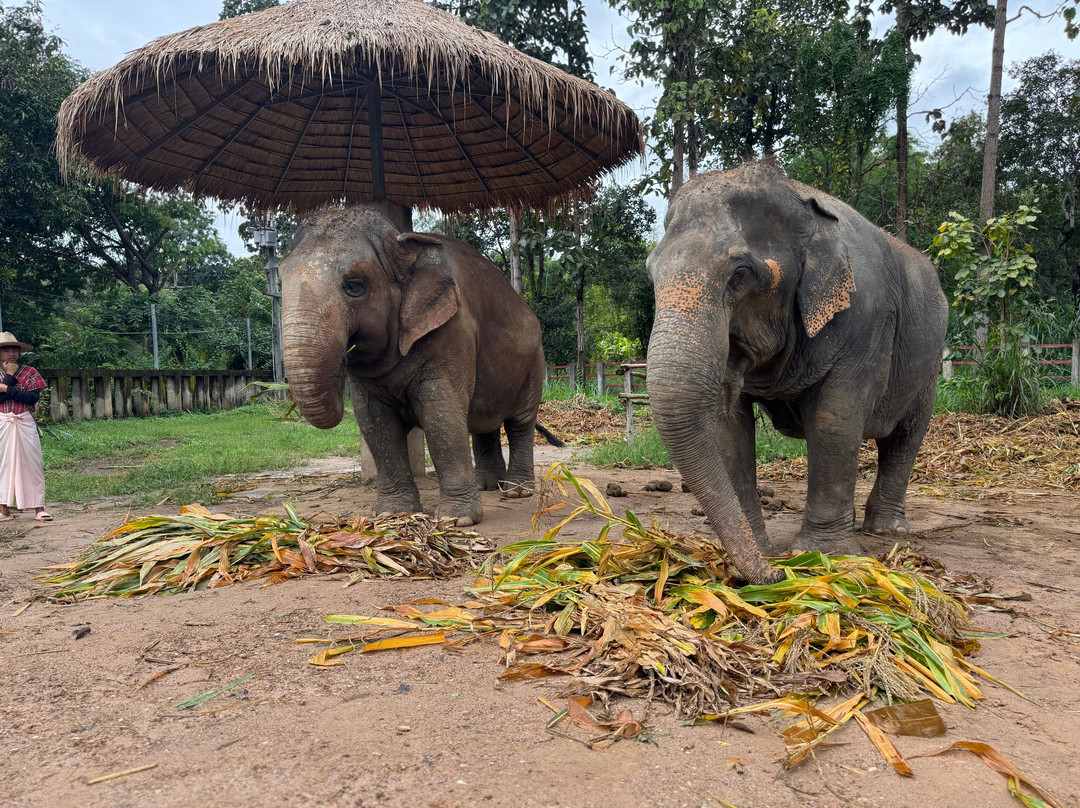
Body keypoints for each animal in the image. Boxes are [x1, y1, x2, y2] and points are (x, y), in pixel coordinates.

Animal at [281, 205, 554, 527]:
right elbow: (375, 421)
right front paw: (391, 513)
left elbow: (440, 413)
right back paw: (486, 486)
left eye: (354, 286)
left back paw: (516, 492)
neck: (403, 241)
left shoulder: (453, 330)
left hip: (535, 362)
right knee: (481, 423)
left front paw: (456, 520)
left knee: (519, 422)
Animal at [646, 159, 948, 584]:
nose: (777, 573)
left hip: (929, 364)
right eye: (651, 273)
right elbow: (727, 428)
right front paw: (761, 547)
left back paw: (886, 530)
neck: (800, 204)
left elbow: (834, 419)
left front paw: (824, 555)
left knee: (905, 436)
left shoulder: (866, 317)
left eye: (740, 273)